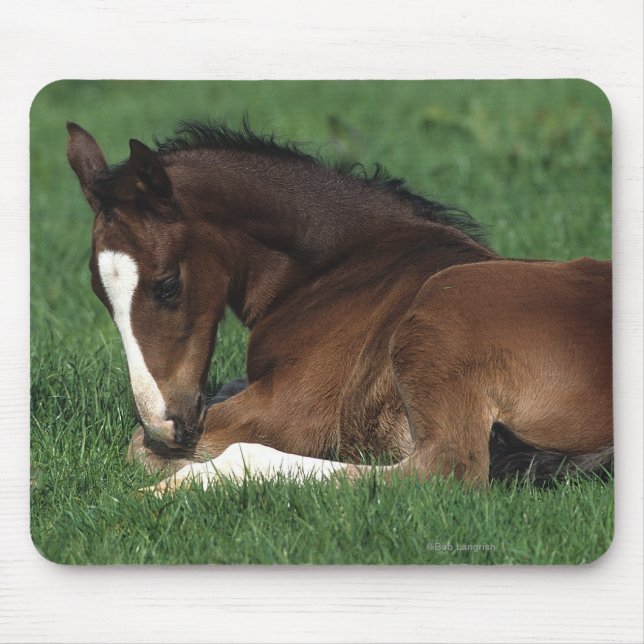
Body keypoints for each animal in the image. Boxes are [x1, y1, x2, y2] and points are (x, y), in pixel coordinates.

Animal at [66, 120, 613, 493]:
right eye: (98, 292)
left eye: (167, 285)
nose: (166, 427)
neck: (338, 266)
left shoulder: (296, 408)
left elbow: (136, 448)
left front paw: (176, 461)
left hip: (446, 304)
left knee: (442, 470)